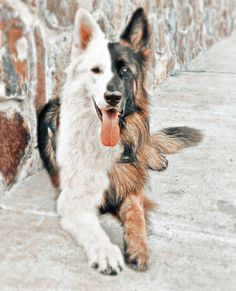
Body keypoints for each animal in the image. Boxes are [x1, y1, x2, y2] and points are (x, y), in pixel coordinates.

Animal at [37, 7, 202, 276]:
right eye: (96, 71)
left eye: (124, 71)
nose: (112, 97)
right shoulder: (74, 199)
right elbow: (93, 228)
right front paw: (106, 253)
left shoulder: (131, 188)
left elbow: (136, 215)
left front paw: (139, 247)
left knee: (143, 145)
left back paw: (154, 157)